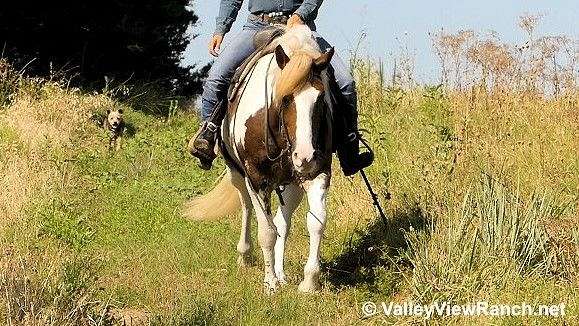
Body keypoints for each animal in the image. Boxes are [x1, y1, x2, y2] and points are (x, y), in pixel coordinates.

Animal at [181, 26, 336, 294]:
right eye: (286, 98)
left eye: (320, 98)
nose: (305, 156)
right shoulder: (256, 178)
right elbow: (266, 231)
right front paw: (270, 283)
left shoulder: (317, 173)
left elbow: (316, 223)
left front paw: (308, 282)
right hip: (237, 174)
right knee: (247, 207)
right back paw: (246, 256)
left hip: (292, 183)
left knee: (283, 222)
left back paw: (282, 273)